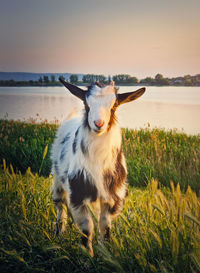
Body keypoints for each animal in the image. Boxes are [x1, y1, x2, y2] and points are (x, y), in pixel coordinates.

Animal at [51, 78, 145, 255]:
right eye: (86, 104)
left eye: (114, 105)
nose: (98, 123)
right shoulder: (78, 193)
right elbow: (87, 227)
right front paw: (87, 254)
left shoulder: (112, 197)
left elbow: (104, 225)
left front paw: (105, 253)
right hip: (58, 180)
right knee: (60, 206)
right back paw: (59, 234)